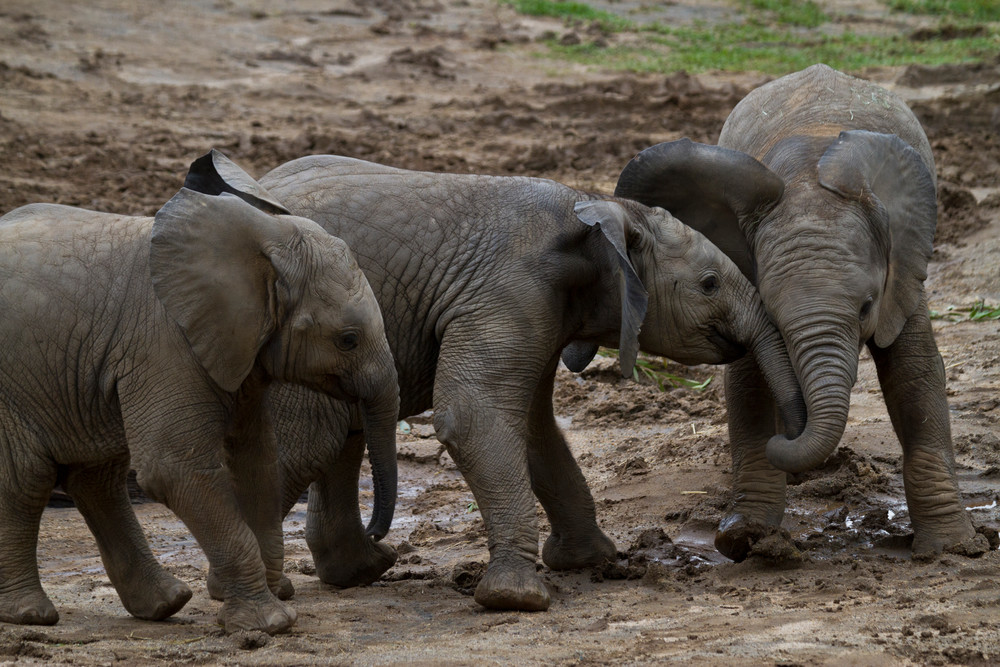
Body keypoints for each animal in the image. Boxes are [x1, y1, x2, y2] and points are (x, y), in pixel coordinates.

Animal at [0, 151, 399, 634]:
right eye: (348, 340)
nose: (380, 539)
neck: (261, 239)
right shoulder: (165, 344)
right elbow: (173, 468)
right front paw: (267, 623)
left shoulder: (238, 348)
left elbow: (257, 461)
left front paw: (274, 597)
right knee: (25, 478)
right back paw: (30, 615)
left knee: (96, 476)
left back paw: (165, 604)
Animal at [193, 151, 809, 613]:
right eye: (709, 283)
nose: (791, 436)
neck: (599, 210)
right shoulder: (510, 288)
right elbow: (474, 415)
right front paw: (518, 598)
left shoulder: (539, 305)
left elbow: (534, 427)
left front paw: (591, 561)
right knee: (309, 440)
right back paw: (250, 592)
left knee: (339, 432)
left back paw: (361, 571)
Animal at [614, 63, 987, 561]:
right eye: (772, 309)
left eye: (866, 306)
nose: (793, 432)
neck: (809, 173)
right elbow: (748, 384)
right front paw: (747, 538)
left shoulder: (903, 270)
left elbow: (915, 376)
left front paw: (951, 549)